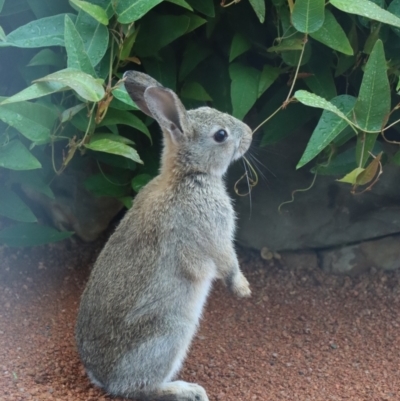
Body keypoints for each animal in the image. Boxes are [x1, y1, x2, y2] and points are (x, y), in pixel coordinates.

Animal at [75, 72, 252, 400]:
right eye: (221, 135)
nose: (248, 134)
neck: (187, 176)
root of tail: (101, 378)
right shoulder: (214, 232)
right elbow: (227, 261)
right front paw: (242, 289)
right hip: (171, 331)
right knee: (137, 388)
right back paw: (188, 390)